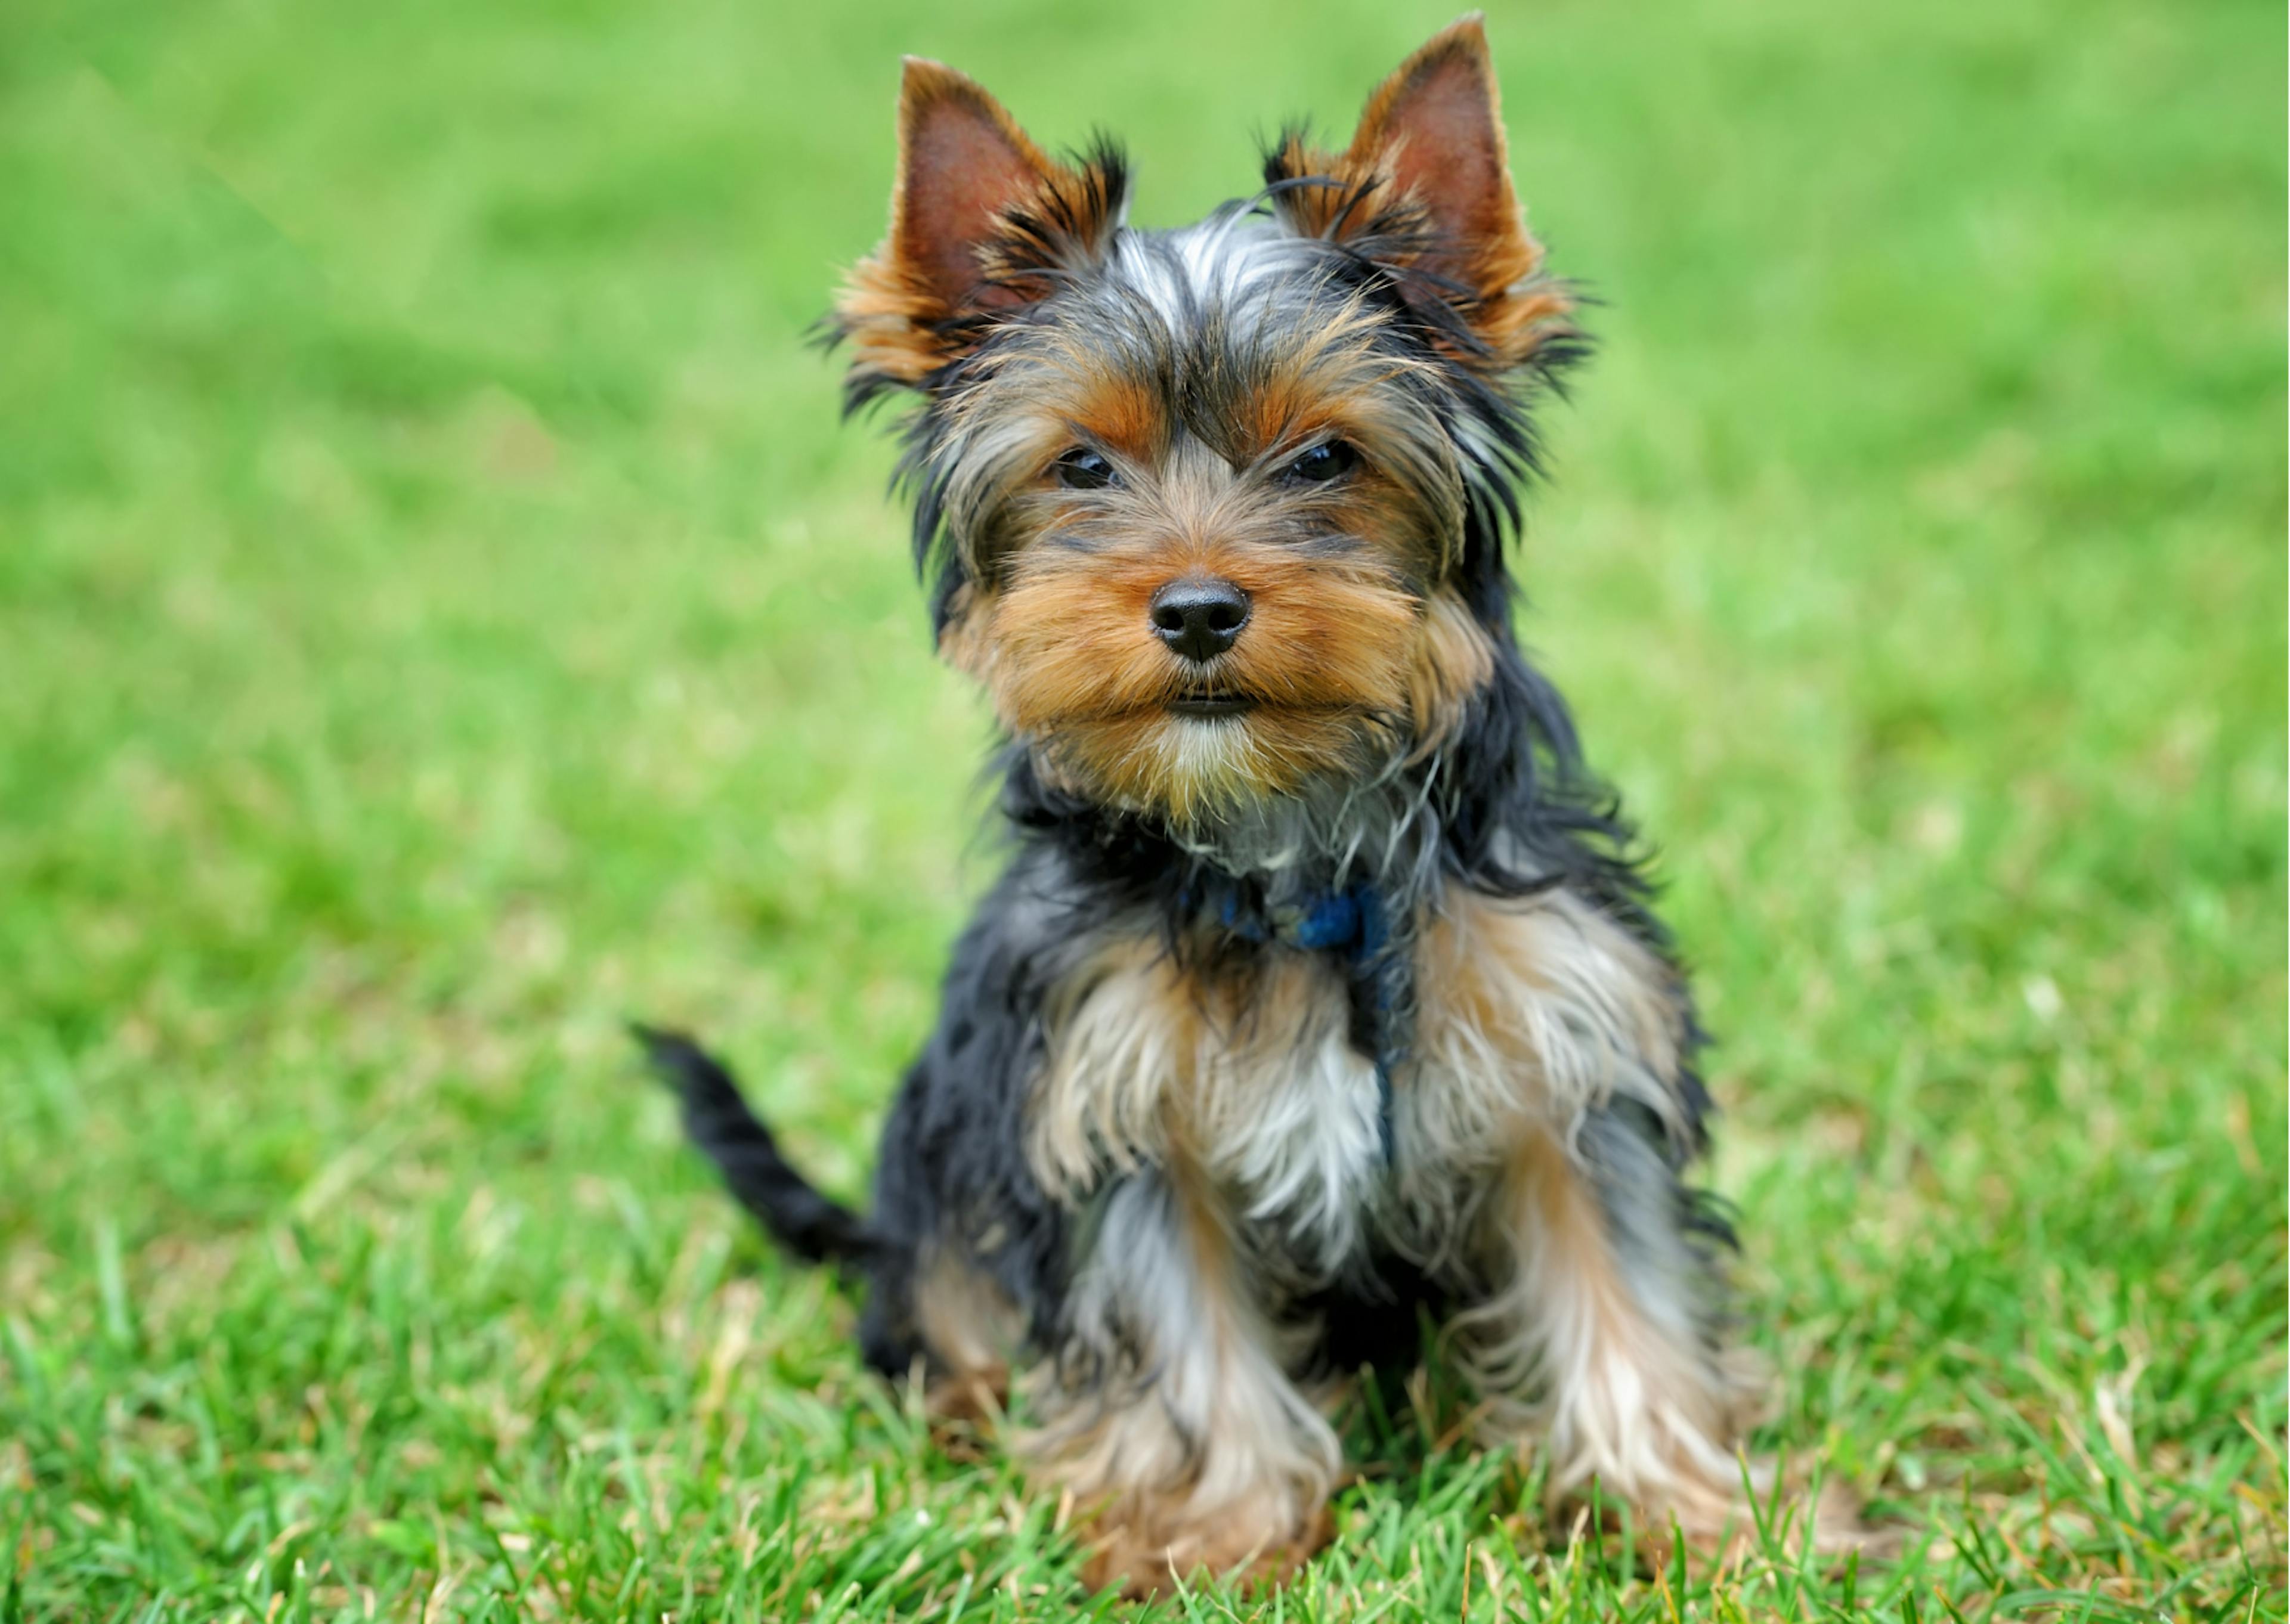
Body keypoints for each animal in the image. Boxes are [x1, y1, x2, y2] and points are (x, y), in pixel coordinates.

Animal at [636, 9, 1795, 1585]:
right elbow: (1180, 1333)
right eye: (1081, 464)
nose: (1193, 609)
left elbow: (1617, 1282)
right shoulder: (1111, 1097)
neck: (1282, 838)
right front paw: (1218, 1537)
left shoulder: (1564, 1047)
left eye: (1322, 458)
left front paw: (1689, 1516)